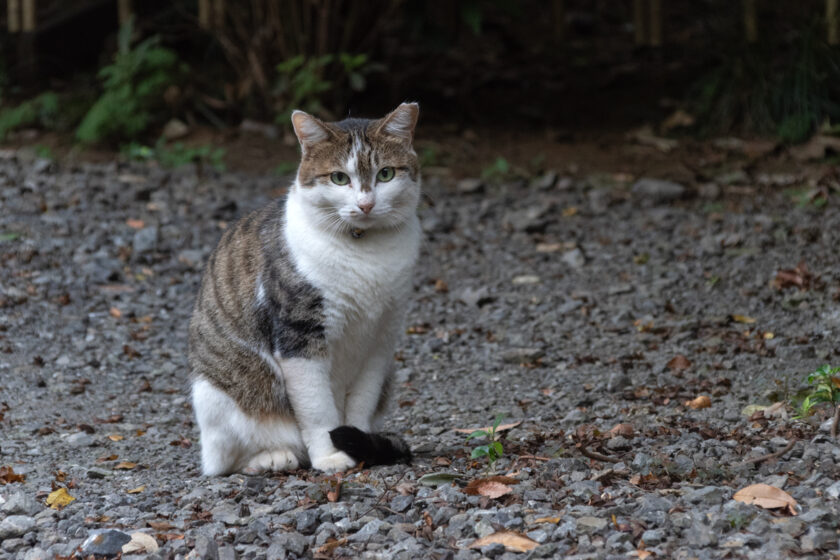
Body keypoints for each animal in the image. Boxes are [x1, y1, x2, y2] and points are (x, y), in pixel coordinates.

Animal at [189, 104, 420, 472]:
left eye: (385, 174)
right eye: (339, 178)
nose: (366, 204)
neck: (365, 253)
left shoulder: (380, 340)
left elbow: (361, 405)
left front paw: (360, 444)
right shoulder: (300, 336)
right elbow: (317, 409)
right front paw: (330, 456)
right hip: (217, 397)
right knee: (226, 461)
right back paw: (272, 458)